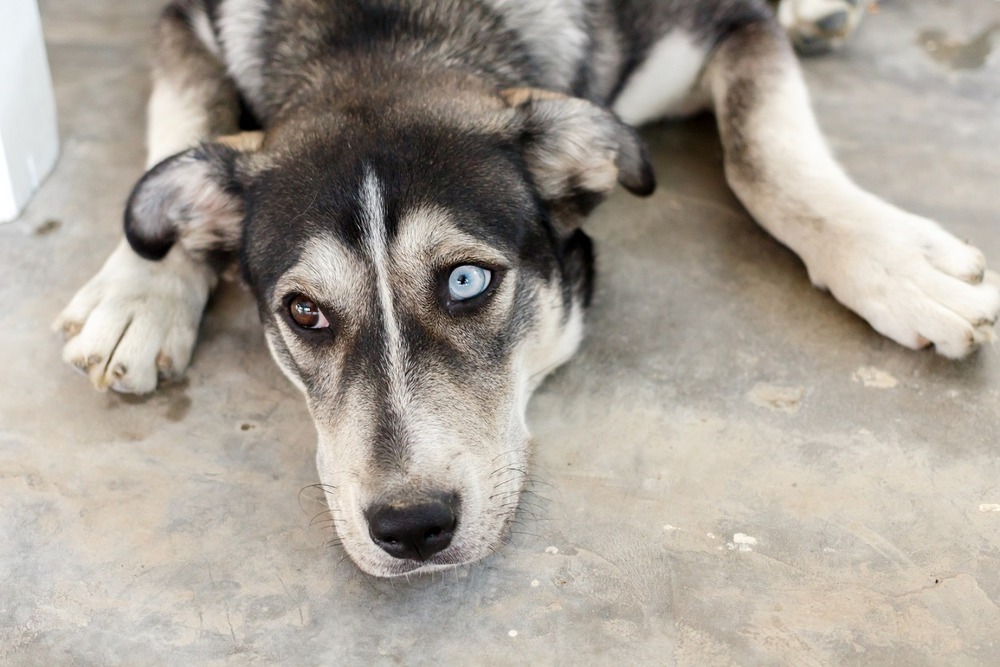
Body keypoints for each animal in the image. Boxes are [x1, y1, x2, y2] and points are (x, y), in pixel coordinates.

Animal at [56, 0, 1000, 576]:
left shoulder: (722, 25)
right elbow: (181, 119)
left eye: (468, 279)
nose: (411, 527)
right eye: (304, 311)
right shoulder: (185, 21)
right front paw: (137, 291)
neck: (381, 32)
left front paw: (894, 257)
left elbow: (762, 153)